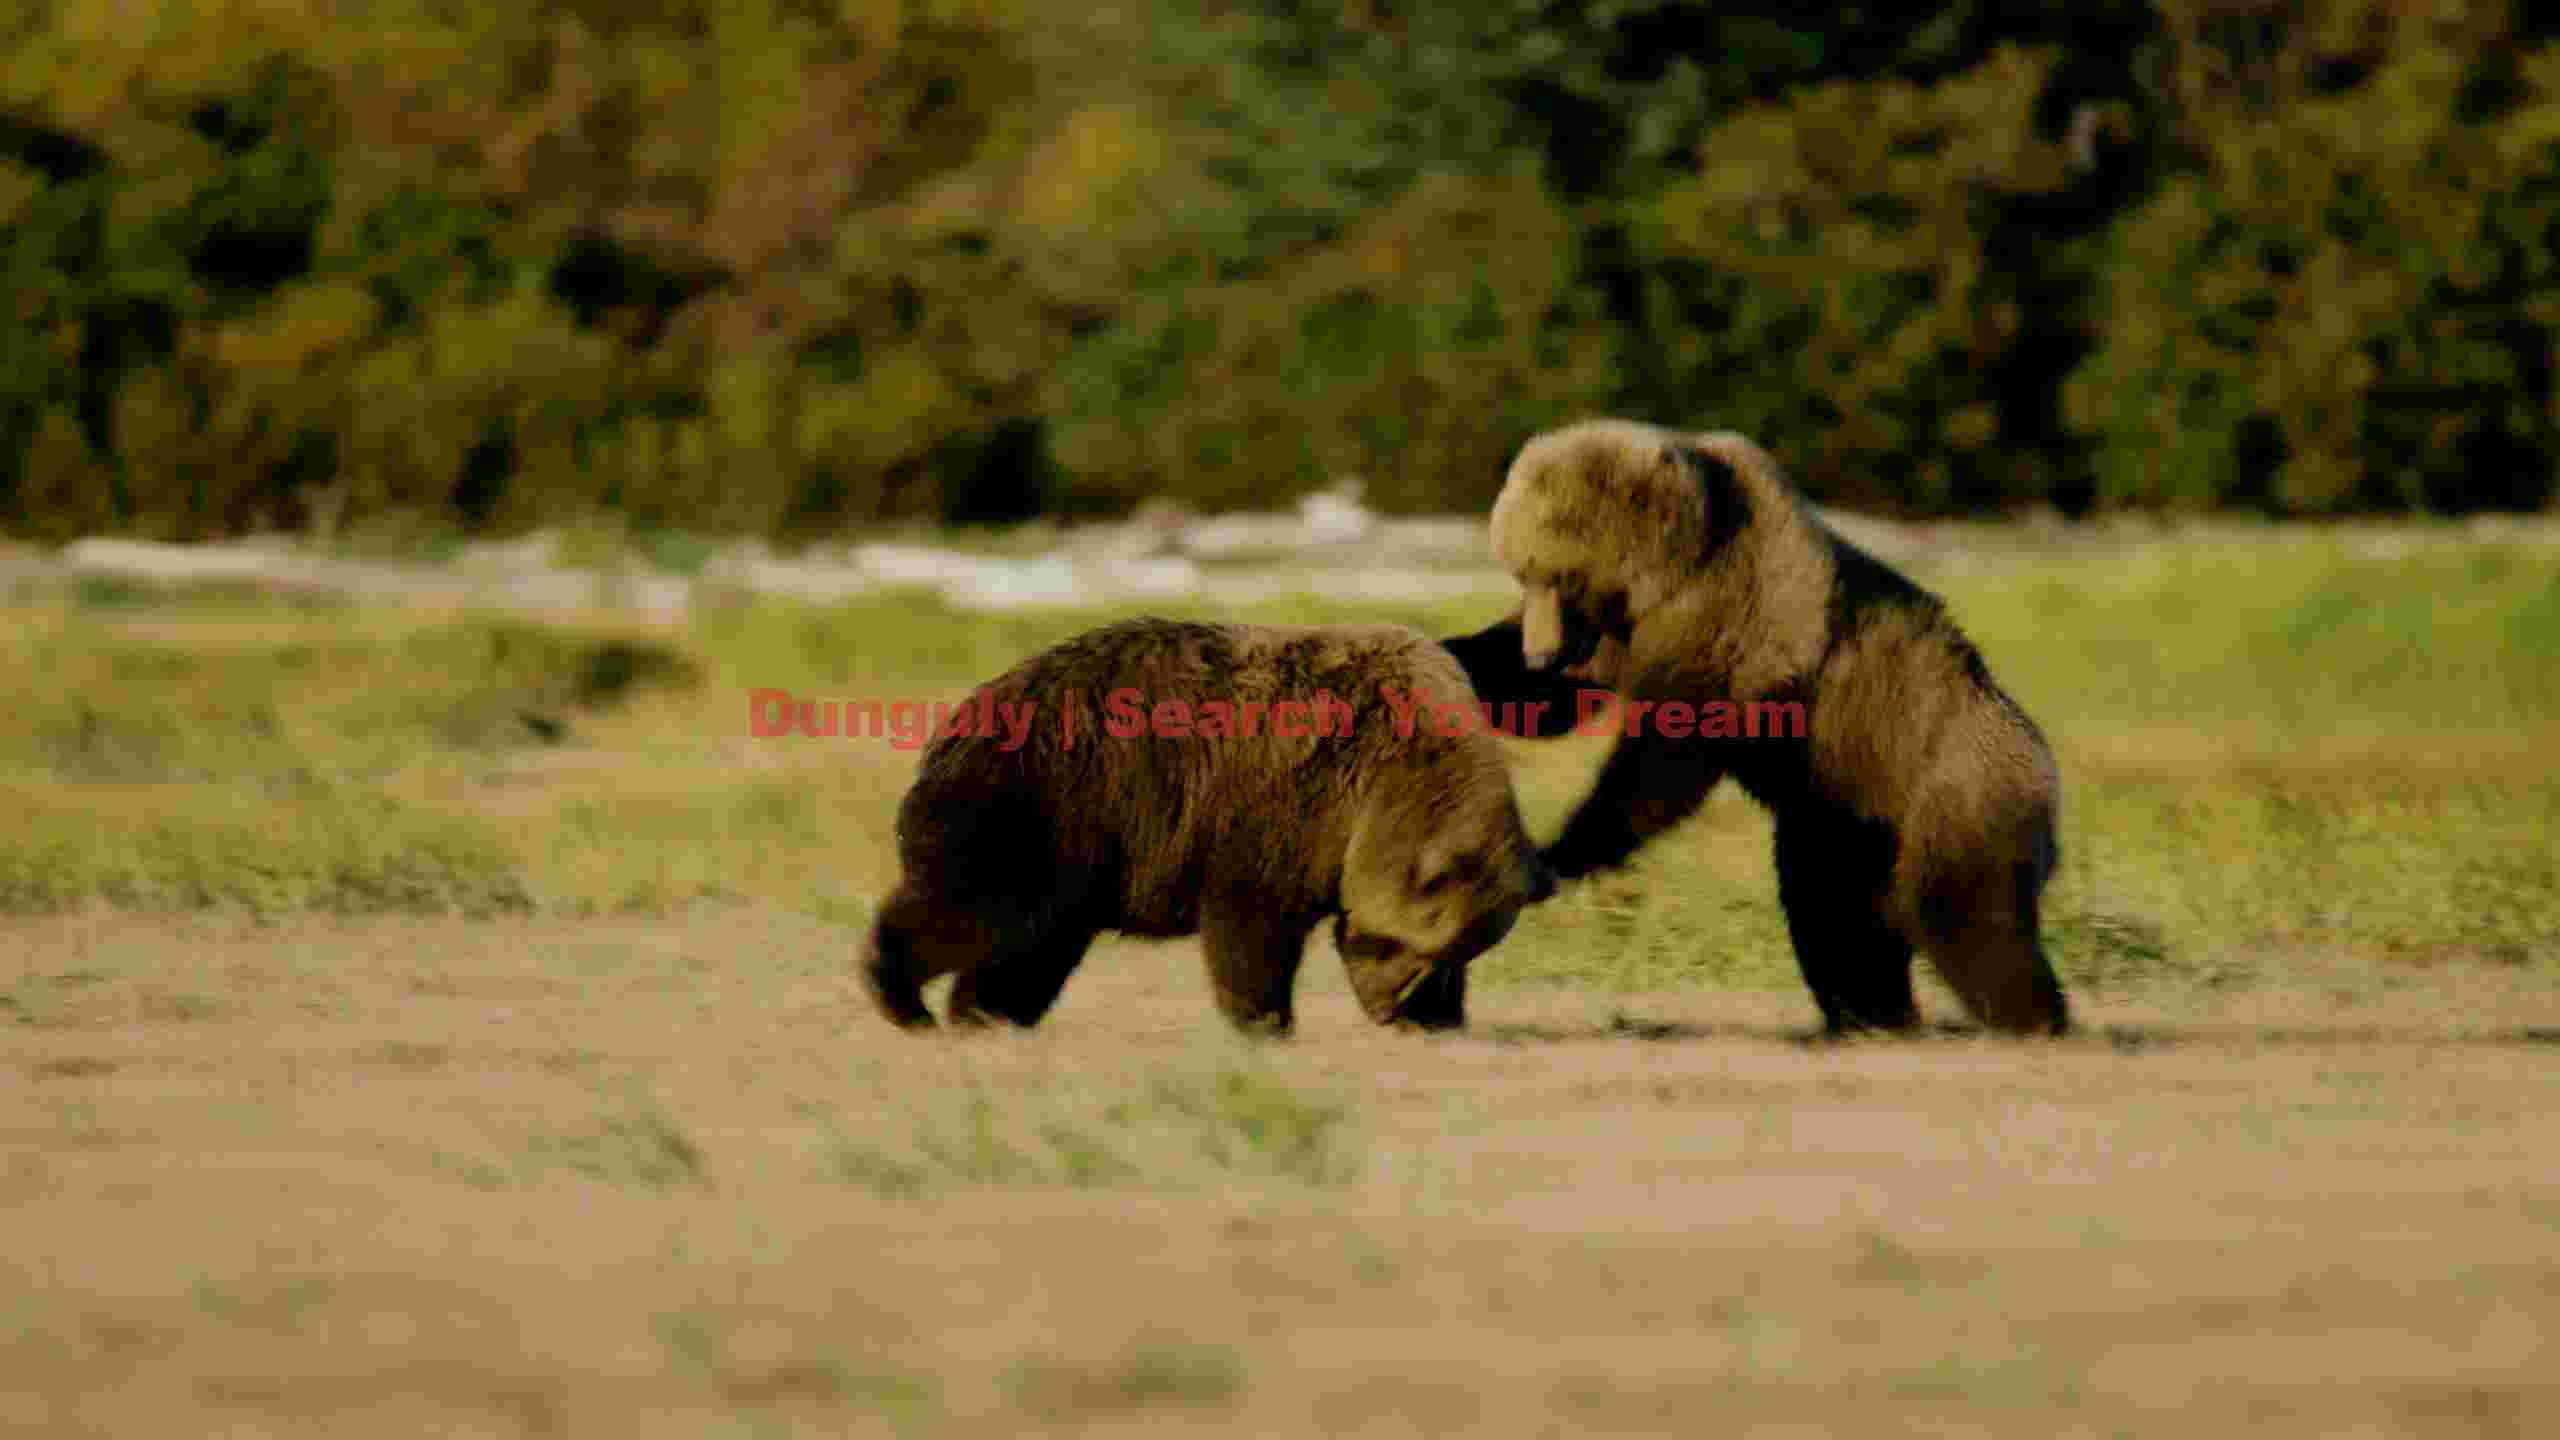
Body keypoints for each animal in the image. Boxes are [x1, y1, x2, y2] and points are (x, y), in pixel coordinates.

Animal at [861, 618, 1556, 1037]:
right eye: (1396, 948)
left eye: (1448, 953)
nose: (1391, 1010)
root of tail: (957, 719)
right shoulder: (1279, 807)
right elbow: (1251, 931)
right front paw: (1265, 1022)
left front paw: (1444, 1016)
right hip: (1042, 806)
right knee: (973, 909)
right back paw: (904, 997)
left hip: (1073, 862)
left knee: (1032, 947)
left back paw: (986, 1013)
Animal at [1439, 418, 2070, 1038]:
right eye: (1521, 575)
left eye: (1561, 578)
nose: (1542, 653)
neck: (1667, 576)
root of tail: (2046, 768)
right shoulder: (1616, 640)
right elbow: (1547, 698)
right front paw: (1454, 655)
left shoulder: (1732, 625)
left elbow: (1664, 760)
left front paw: (1562, 849)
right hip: (1845, 821)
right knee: (1837, 920)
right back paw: (1872, 1014)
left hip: (1945, 787)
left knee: (1967, 919)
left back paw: (2029, 1018)